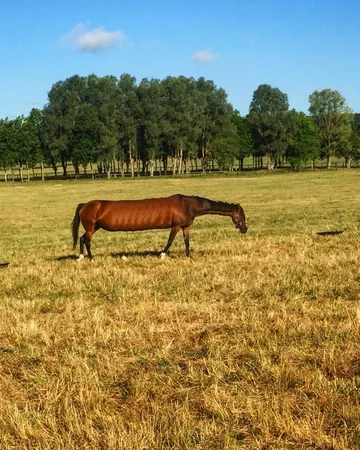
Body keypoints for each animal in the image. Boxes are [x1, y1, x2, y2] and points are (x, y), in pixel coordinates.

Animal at [72, 193, 248, 260]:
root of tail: (84, 205)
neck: (188, 205)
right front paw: (162, 254)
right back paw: (91, 258)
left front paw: (189, 256)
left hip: (94, 227)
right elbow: (170, 241)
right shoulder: (176, 225)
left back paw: (81, 257)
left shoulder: (185, 226)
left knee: (81, 238)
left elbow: (187, 241)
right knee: (87, 240)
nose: (245, 229)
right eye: (241, 215)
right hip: (91, 227)